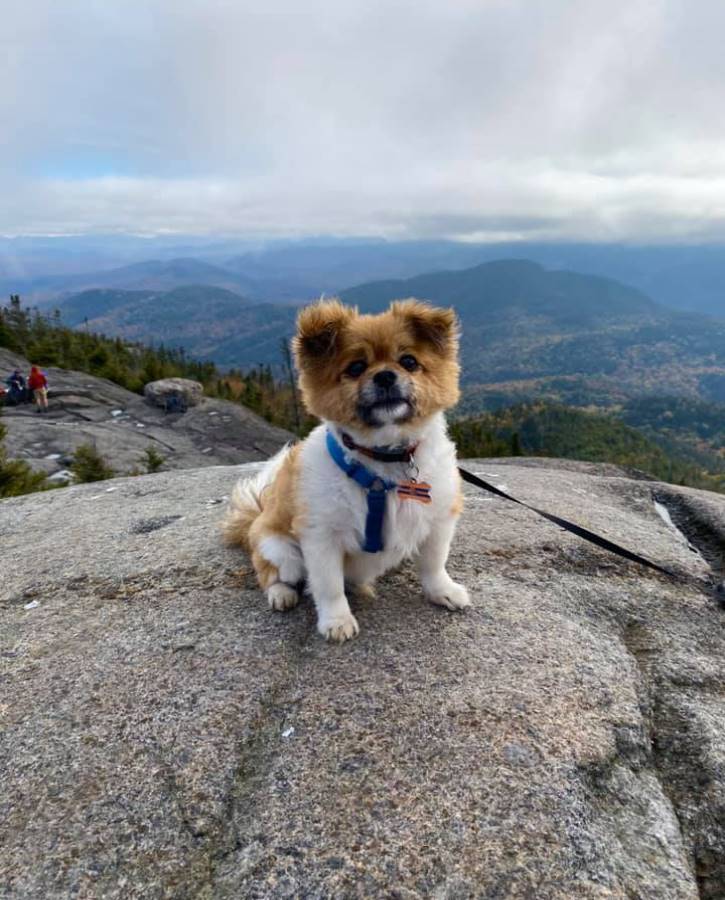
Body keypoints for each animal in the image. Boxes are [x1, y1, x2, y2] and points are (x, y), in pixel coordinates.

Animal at [222, 298, 470, 644]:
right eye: (355, 367)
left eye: (408, 361)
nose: (385, 376)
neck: (384, 461)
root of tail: (256, 519)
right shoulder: (321, 536)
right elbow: (329, 586)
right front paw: (337, 621)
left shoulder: (438, 520)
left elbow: (434, 564)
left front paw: (443, 591)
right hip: (281, 551)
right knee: (273, 574)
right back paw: (281, 594)